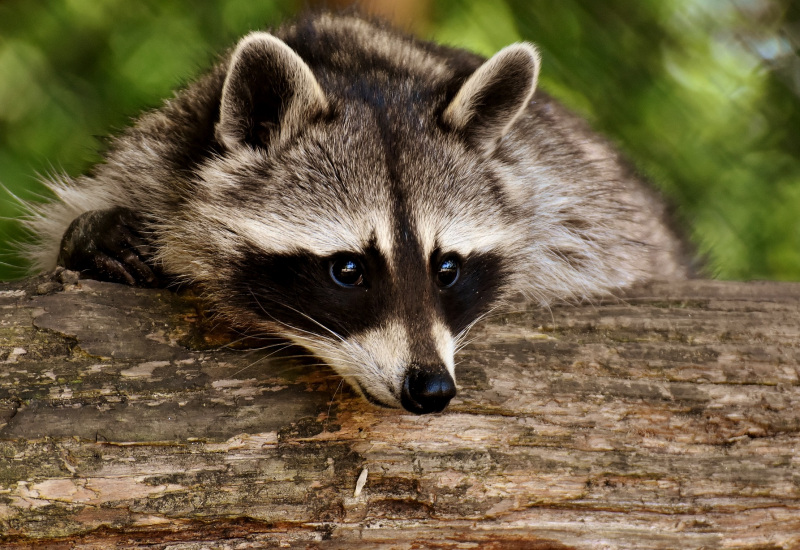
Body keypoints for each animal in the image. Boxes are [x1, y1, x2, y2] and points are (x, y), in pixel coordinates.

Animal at [23, 12, 688, 414]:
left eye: (447, 268)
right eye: (348, 270)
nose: (431, 389)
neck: (358, 69)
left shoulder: (569, 198)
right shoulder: (152, 156)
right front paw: (91, 237)